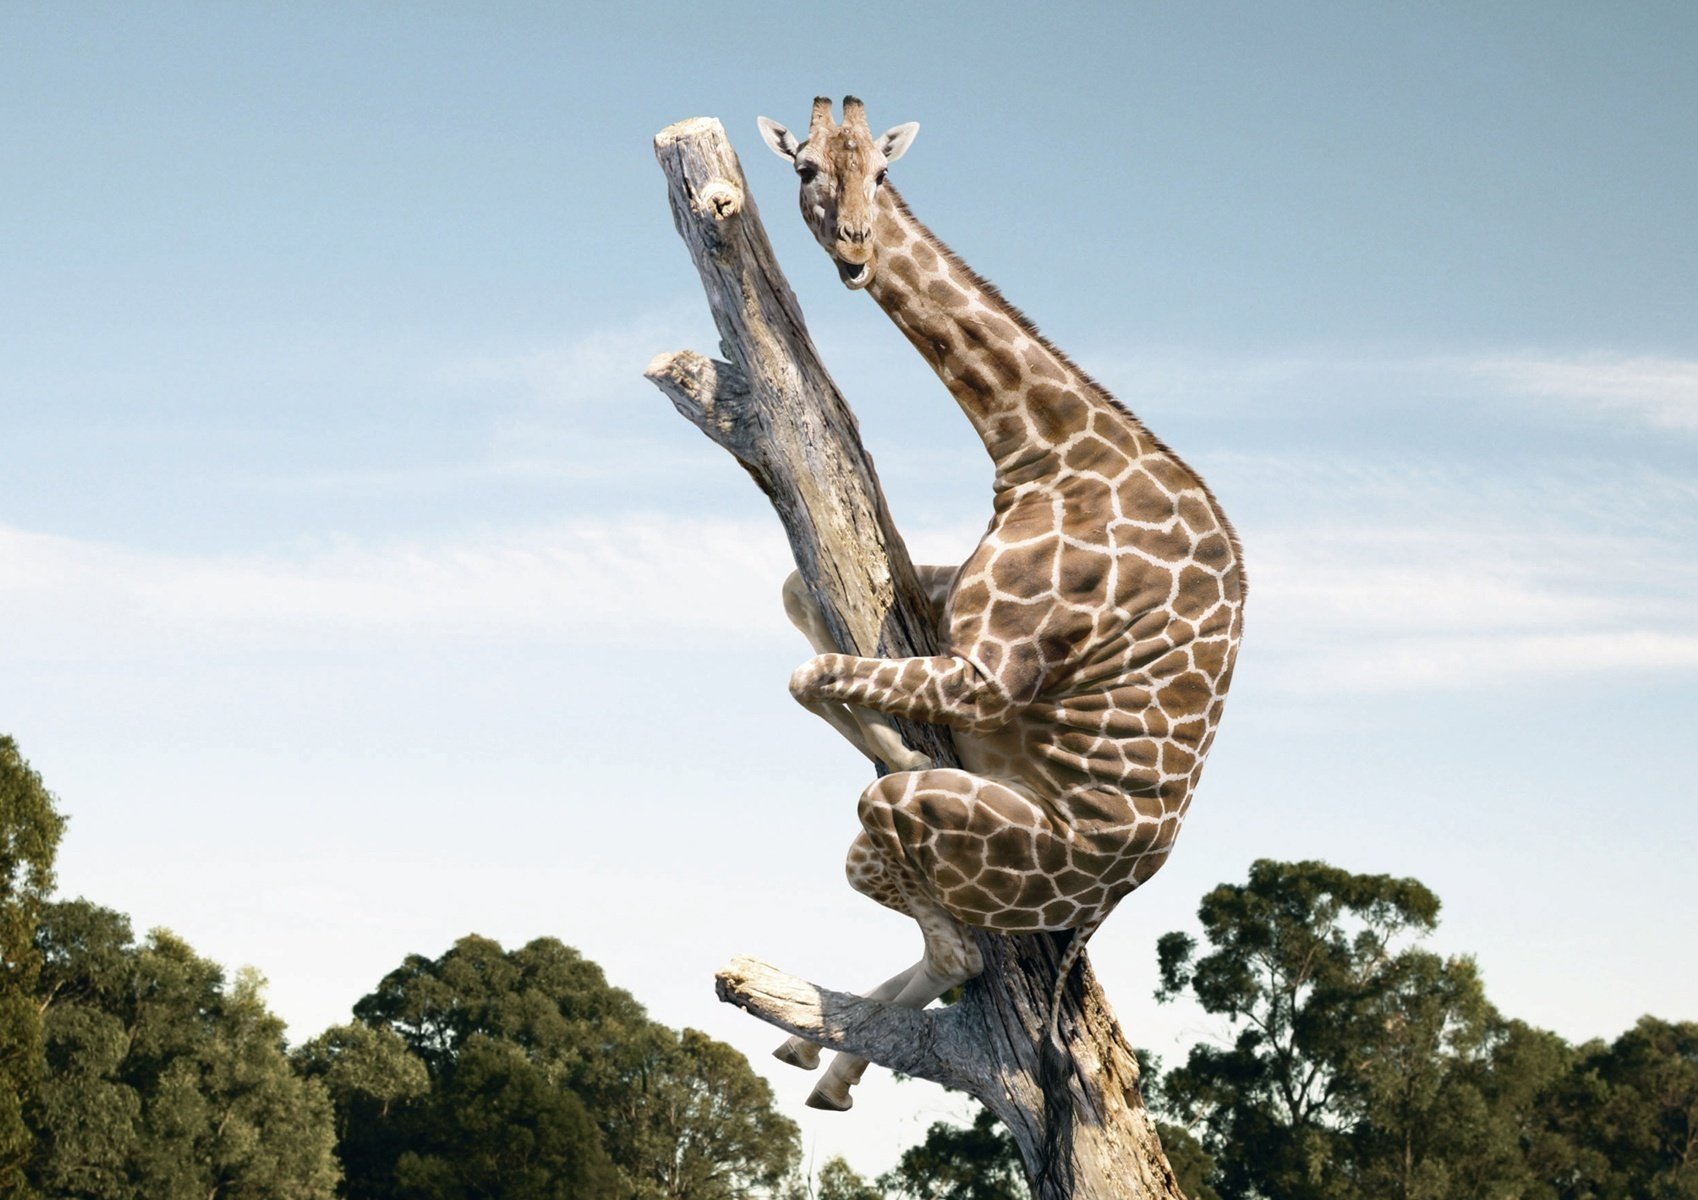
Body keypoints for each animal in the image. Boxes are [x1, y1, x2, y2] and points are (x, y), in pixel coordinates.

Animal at [757, 97, 1245, 1111]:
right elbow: (797, 606)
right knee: (952, 956)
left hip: (935, 832)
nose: (856, 252)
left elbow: (810, 672)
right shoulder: (943, 614)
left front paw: (899, 740)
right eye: (806, 168)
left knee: (954, 945)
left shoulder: (989, 676)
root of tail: (1105, 901)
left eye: (883, 175)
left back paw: (828, 1063)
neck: (1045, 447)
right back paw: (816, 1062)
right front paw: (884, 727)